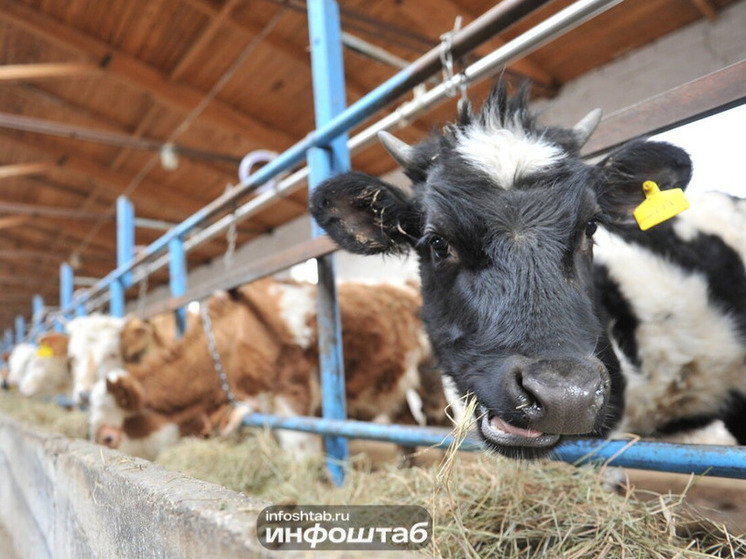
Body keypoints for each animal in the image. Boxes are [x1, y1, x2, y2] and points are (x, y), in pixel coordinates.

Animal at [90, 278, 444, 460]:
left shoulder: (292, 397)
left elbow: (302, 457)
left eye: (108, 438)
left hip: (431, 372)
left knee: (436, 416)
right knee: (406, 423)